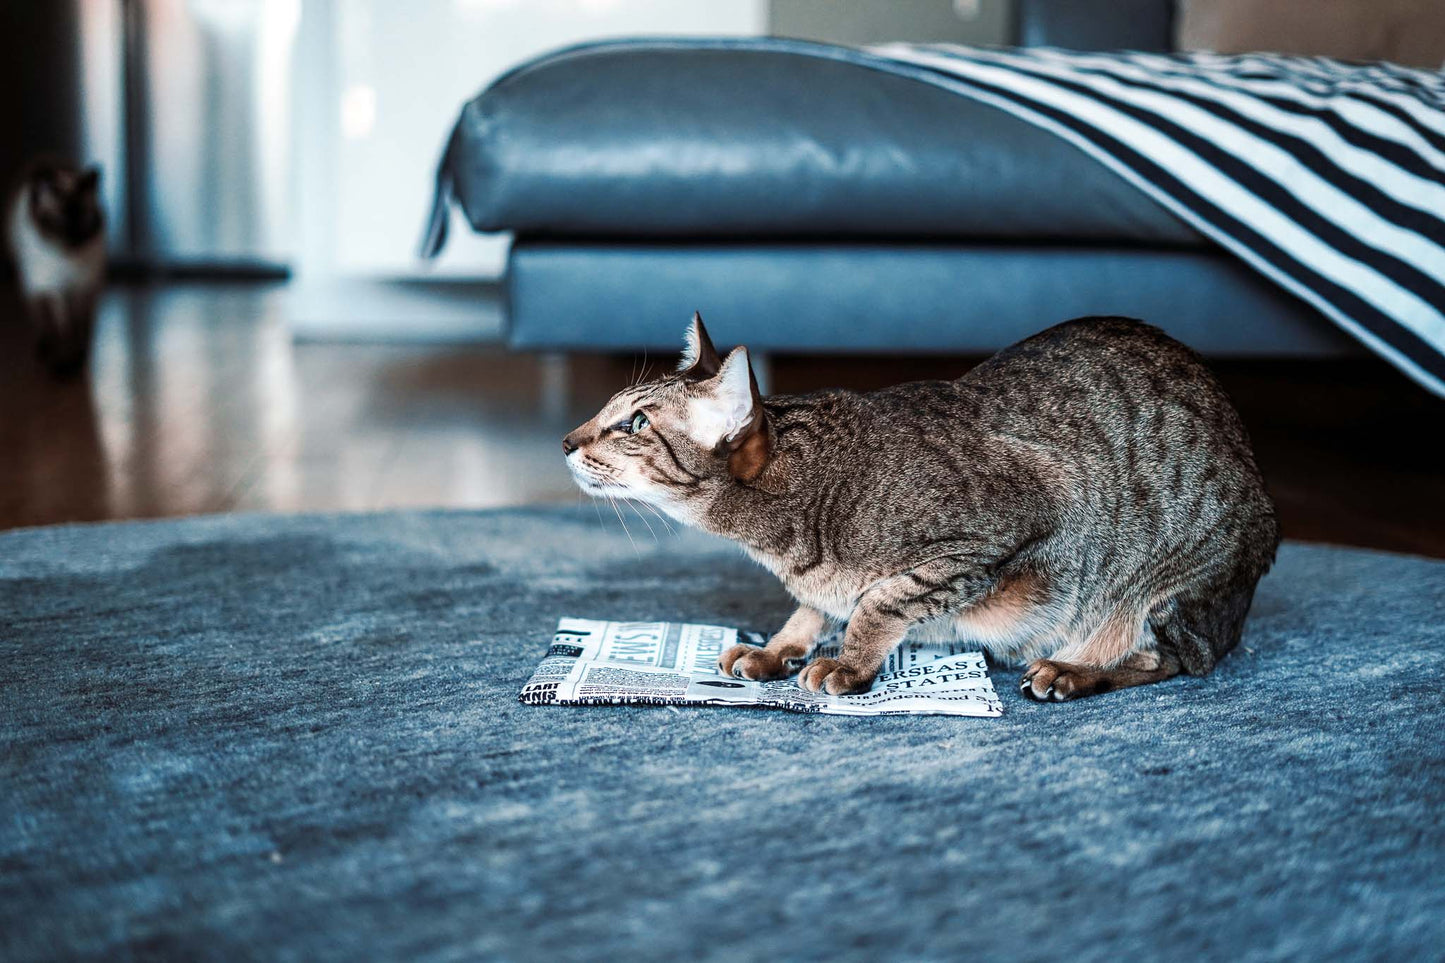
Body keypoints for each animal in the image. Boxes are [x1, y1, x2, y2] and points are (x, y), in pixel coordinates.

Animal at [5, 161, 105, 375]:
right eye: (59, 222)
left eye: (84, 222)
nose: (73, 240)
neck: (67, 264)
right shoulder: (52, 290)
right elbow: (62, 327)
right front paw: (62, 363)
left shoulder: (83, 290)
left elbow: (79, 326)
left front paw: (77, 359)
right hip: (33, 290)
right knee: (42, 323)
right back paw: (45, 349)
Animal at [563, 313, 1277, 696]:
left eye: (634, 424)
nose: (567, 440)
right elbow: (814, 605)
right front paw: (781, 646)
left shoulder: (1007, 528)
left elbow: (881, 600)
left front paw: (849, 661)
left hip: (1169, 583)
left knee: (1176, 659)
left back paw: (1073, 670)